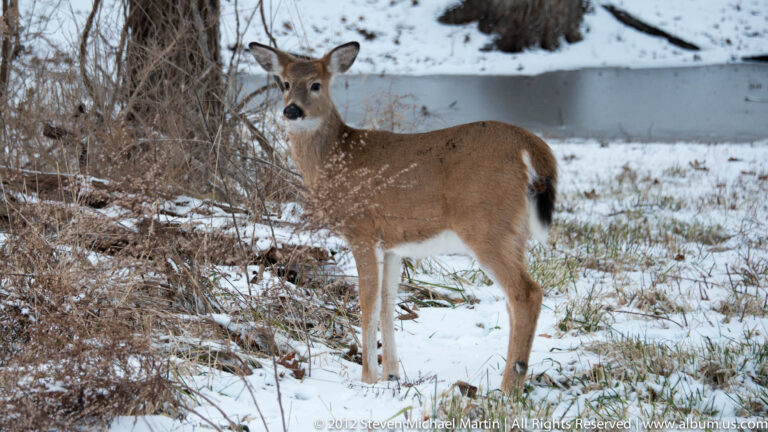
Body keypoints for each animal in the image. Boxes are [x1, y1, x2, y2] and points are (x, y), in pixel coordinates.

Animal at [248, 41, 557, 393]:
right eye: (285, 84)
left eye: (316, 84)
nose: (292, 111)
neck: (334, 161)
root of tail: (533, 148)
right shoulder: (393, 244)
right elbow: (387, 303)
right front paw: (391, 376)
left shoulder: (362, 229)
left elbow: (367, 303)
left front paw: (367, 378)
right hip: (512, 230)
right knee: (513, 298)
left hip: (485, 224)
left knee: (526, 293)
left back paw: (508, 388)